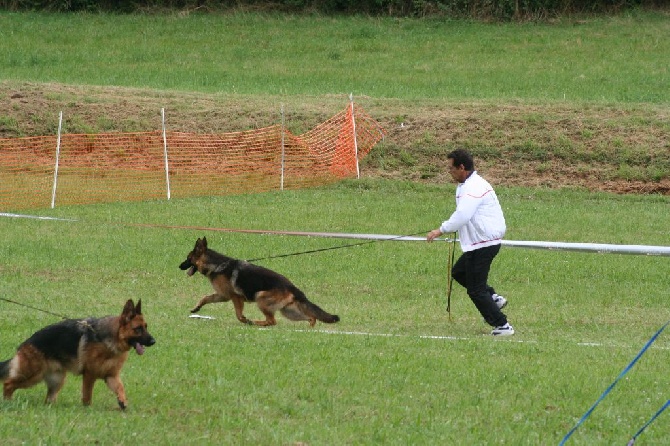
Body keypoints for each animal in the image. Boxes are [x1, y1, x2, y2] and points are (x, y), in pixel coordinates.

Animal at [0, 298, 155, 410]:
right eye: (138, 329)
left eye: (146, 327)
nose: (154, 341)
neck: (109, 339)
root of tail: (24, 345)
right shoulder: (89, 375)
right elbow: (87, 396)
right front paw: (87, 409)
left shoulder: (111, 376)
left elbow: (120, 388)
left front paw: (123, 402)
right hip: (32, 375)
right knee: (8, 384)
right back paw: (8, 402)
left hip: (56, 380)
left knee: (48, 398)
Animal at [180, 237, 342, 328]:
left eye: (188, 258)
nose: (179, 266)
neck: (217, 265)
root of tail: (292, 287)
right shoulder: (223, 295)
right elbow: (205, 298)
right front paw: (196, 308)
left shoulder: (235, 298)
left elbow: (239, 315)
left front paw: (245, 320)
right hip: (288, 311)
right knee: (311, 317)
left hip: (261, 298)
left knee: (272, 321)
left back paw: (256, 323)